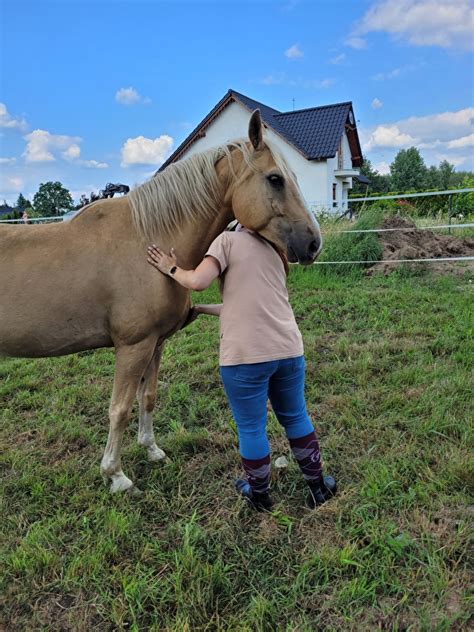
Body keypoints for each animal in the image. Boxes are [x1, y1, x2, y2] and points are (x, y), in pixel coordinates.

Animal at [0, 111, 322, 492]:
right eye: (275, 179)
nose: (313, 243)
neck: (146, 241)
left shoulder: (155, 343)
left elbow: (148, 398)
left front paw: (151, 450)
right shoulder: (133, 346)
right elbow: (120, 408)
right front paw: (116, 474)